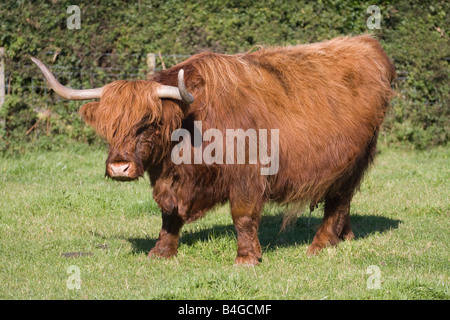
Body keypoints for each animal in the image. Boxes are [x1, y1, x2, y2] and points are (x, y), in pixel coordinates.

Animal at [32, 34, 398, 264]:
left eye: (149, 123)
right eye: (110, 127)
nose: (119, 167)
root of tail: (365, 44)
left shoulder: (248, 172)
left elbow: (243, 215)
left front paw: (247, 258)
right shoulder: (168, 179)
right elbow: (169, 214)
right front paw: (161, 252)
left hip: (353, 160)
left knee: (338, 200)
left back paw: (320, 245)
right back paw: (344, 237)